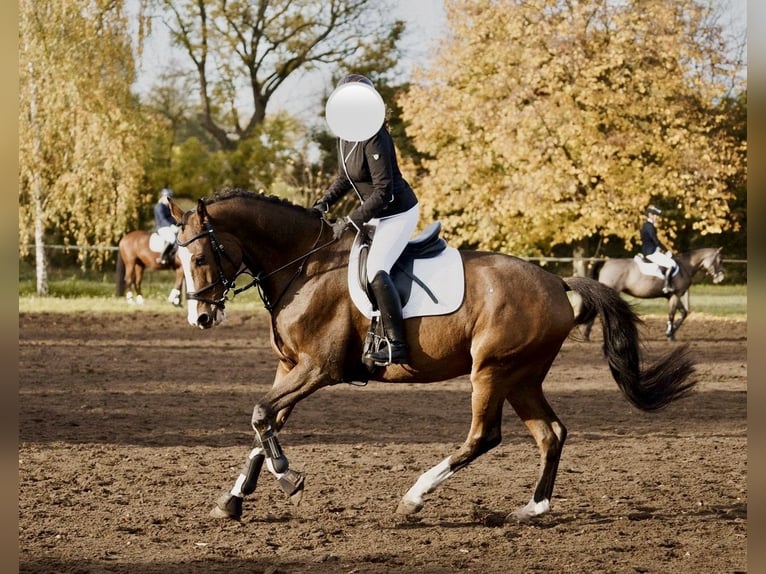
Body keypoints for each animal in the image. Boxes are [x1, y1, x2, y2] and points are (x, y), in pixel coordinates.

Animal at [171, 190, 700, 528]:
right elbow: (264, 424)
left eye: (199, 258)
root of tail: (556, 282)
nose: (200, 317)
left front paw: (288, 479)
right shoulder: (290, 367)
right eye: (177, 259)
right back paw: (530, 510)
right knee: (551, 434)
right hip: (522, 377)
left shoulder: (318, 369)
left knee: (484, 436)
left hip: (492, 370)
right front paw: (233, 501)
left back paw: (413, 498)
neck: (305, 266)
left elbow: (261, 414)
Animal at [584, 248, 728, 342]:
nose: (721, 278)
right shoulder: (675, 295)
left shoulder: (673, 296)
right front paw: (670, 334)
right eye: (720, 260)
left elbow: (684, 313)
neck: (685, 266)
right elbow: (672, 314)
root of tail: (606, 262)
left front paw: (672, 331)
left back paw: (587, 335)